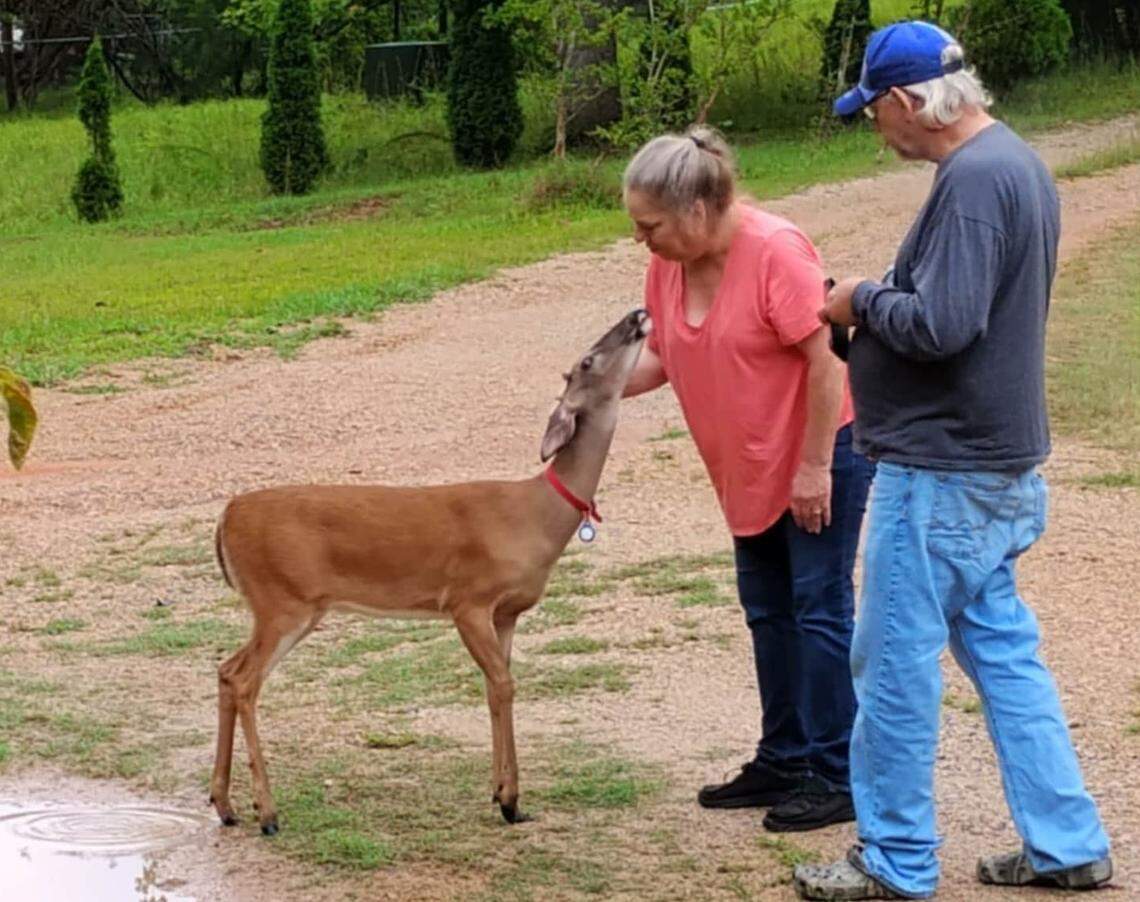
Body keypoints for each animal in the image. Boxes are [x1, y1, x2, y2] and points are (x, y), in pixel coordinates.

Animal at [208, 307, 652, 834]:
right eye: (586, 360)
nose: (637, 314)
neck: (535, 516)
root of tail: (227, 518)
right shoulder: (468, 599)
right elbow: (505, 684)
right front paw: (510, 799)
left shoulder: (506, 612)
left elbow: (495, 687)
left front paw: (502, 794)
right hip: (283, 599)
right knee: (245, 681)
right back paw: (268, 812)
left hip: (279, 605)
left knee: (226, 670)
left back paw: (225, 805)